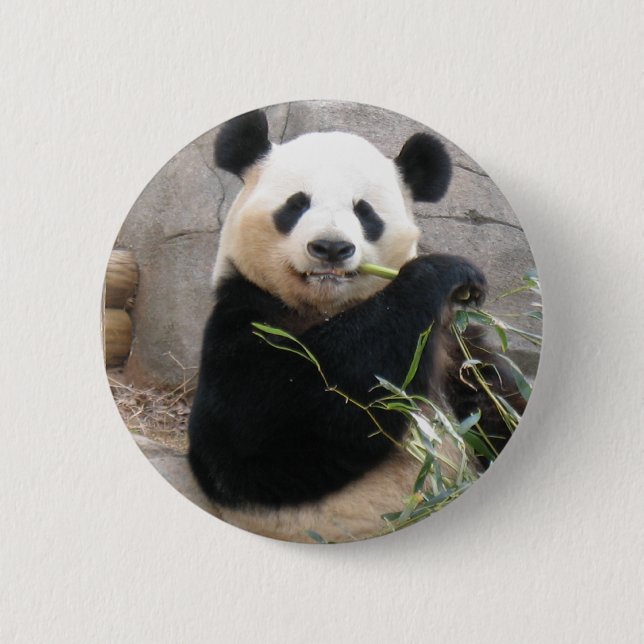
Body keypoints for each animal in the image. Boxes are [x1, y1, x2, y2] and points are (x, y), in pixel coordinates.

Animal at [188, 109, 523, 543]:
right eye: (297, 204)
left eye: (364, 212)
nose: (330, 248)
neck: (329, 307)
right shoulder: (246, 314)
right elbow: (262, 427)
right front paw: (443, 271)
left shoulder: (452, 343)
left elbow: (491, 397)